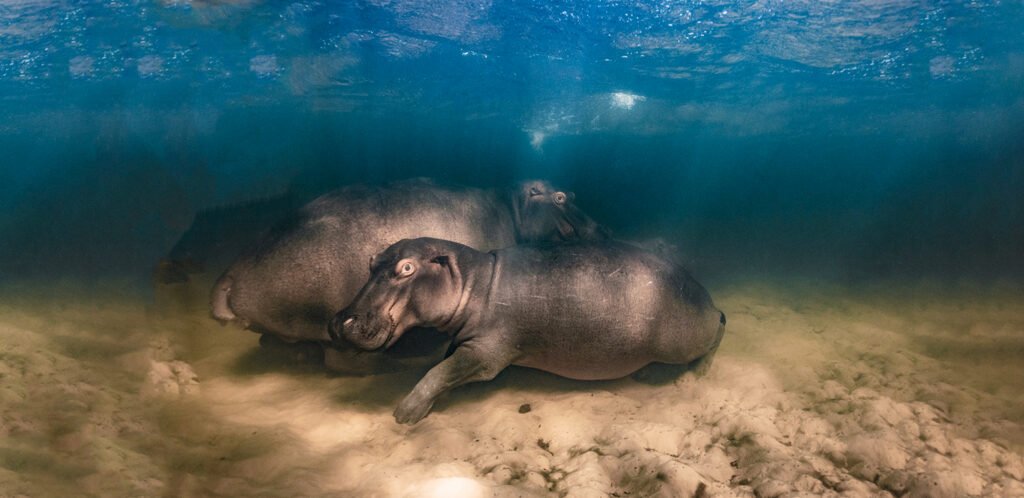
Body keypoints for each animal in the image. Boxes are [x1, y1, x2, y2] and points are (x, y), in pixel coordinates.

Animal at [208, 179, 606, 372]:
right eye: (561, 196)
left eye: (572, 192)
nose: (605, 229)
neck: (512, 207)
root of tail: (231, 274)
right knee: (343, 361)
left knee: (276, 344)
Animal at [331, 237, 724, 424]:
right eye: (371, 261)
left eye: (407, 268)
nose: (339, 321)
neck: (475, 281)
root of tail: (702, 292)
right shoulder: (464, 341)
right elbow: (443, 365)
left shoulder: (486, 353)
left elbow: (440, 372)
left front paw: (405, 413)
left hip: (684, 341)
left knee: (718, 330)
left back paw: (698, 372)